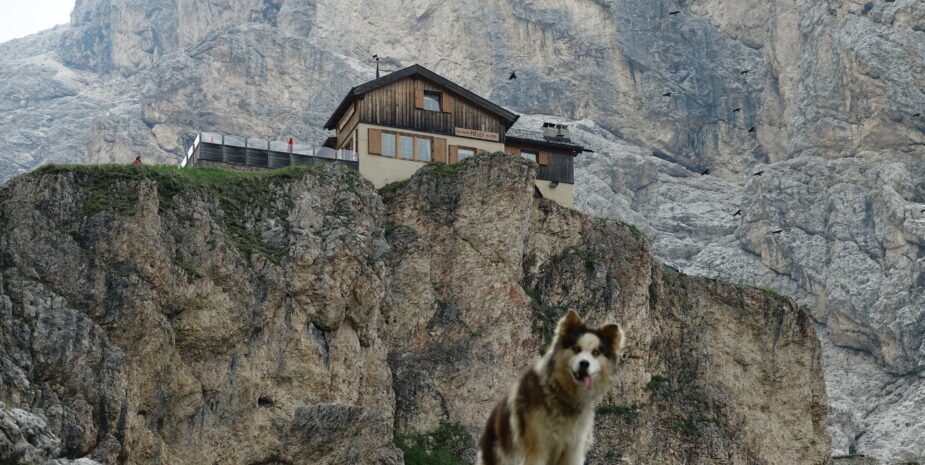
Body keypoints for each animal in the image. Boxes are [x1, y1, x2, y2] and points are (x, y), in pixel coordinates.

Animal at [480, 308, 624, 464]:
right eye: (576, 349)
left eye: (596, 352)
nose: (584, 364)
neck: (563, 395)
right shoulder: (536, 445)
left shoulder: (573, 449)